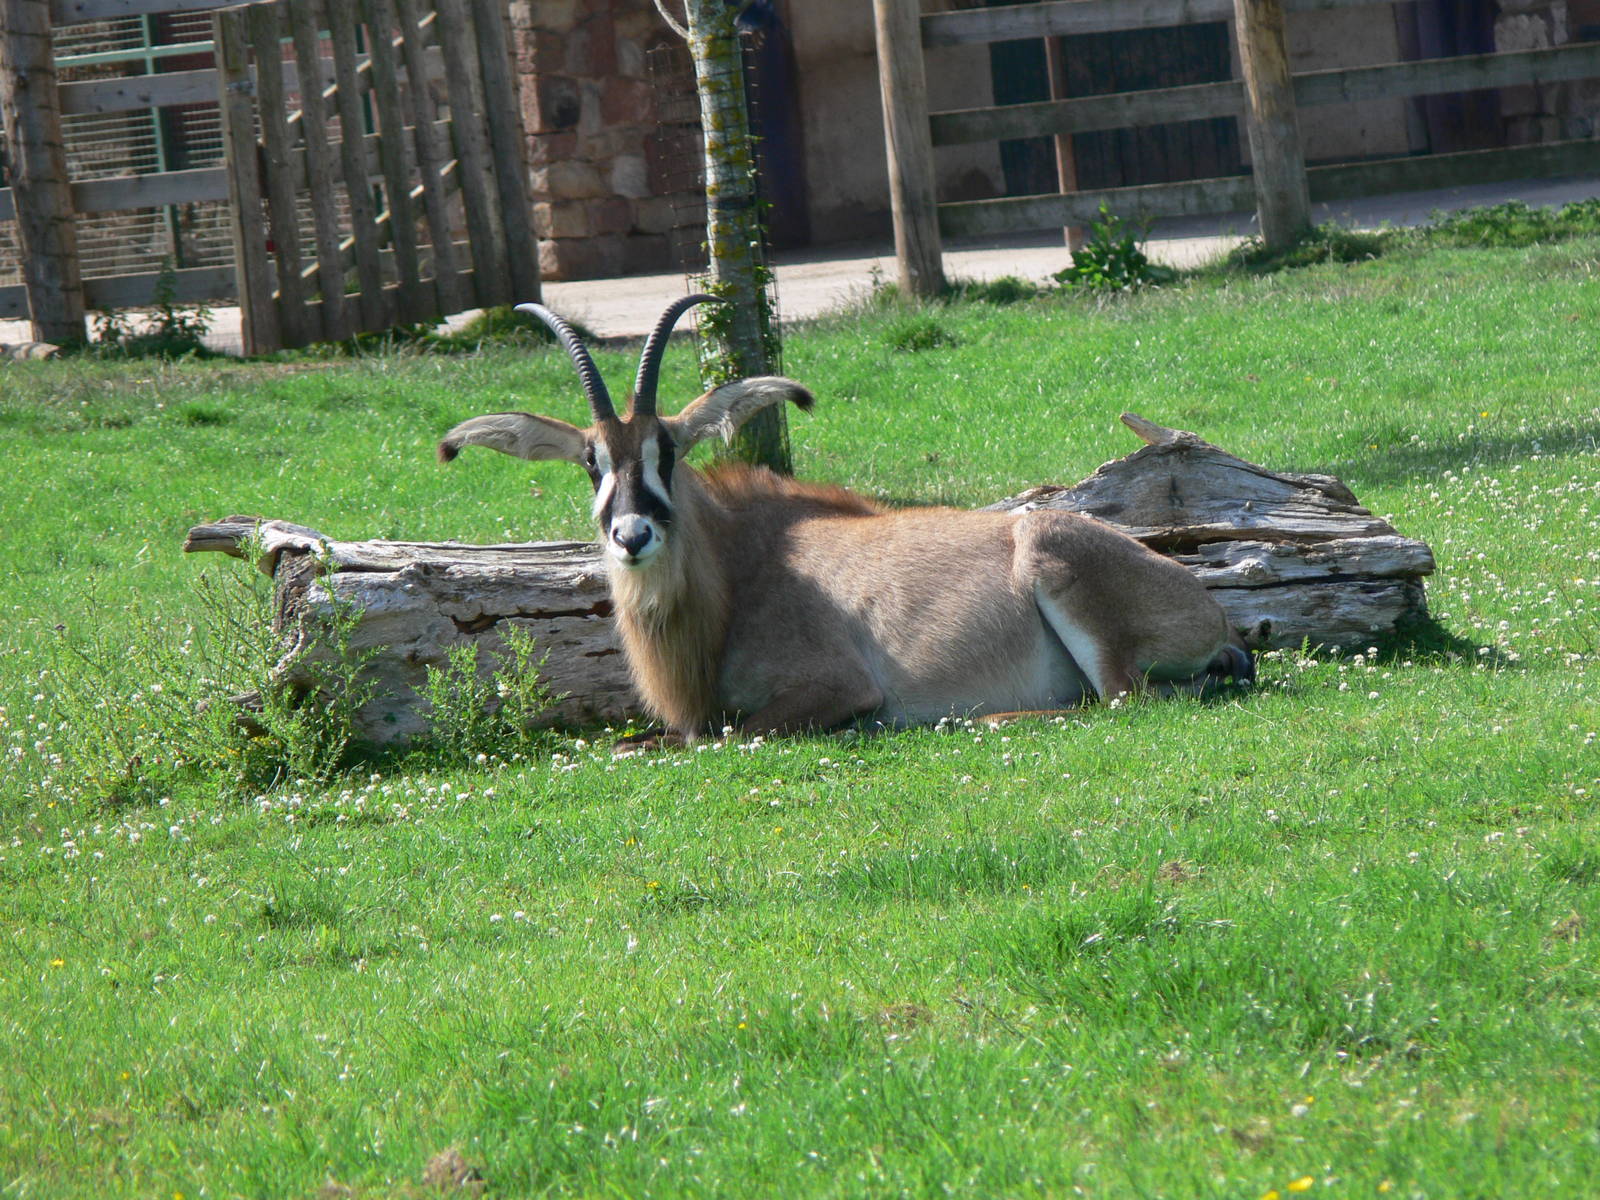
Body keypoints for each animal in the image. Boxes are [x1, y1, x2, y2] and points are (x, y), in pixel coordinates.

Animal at [439, 296, 1252, 742]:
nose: (632, 535)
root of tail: (1211, 611)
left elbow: (709, 740)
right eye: (592, 463)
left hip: (1061, 571)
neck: (741, 567)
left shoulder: (831, 689)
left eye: (667, 451)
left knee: (1121, 699)